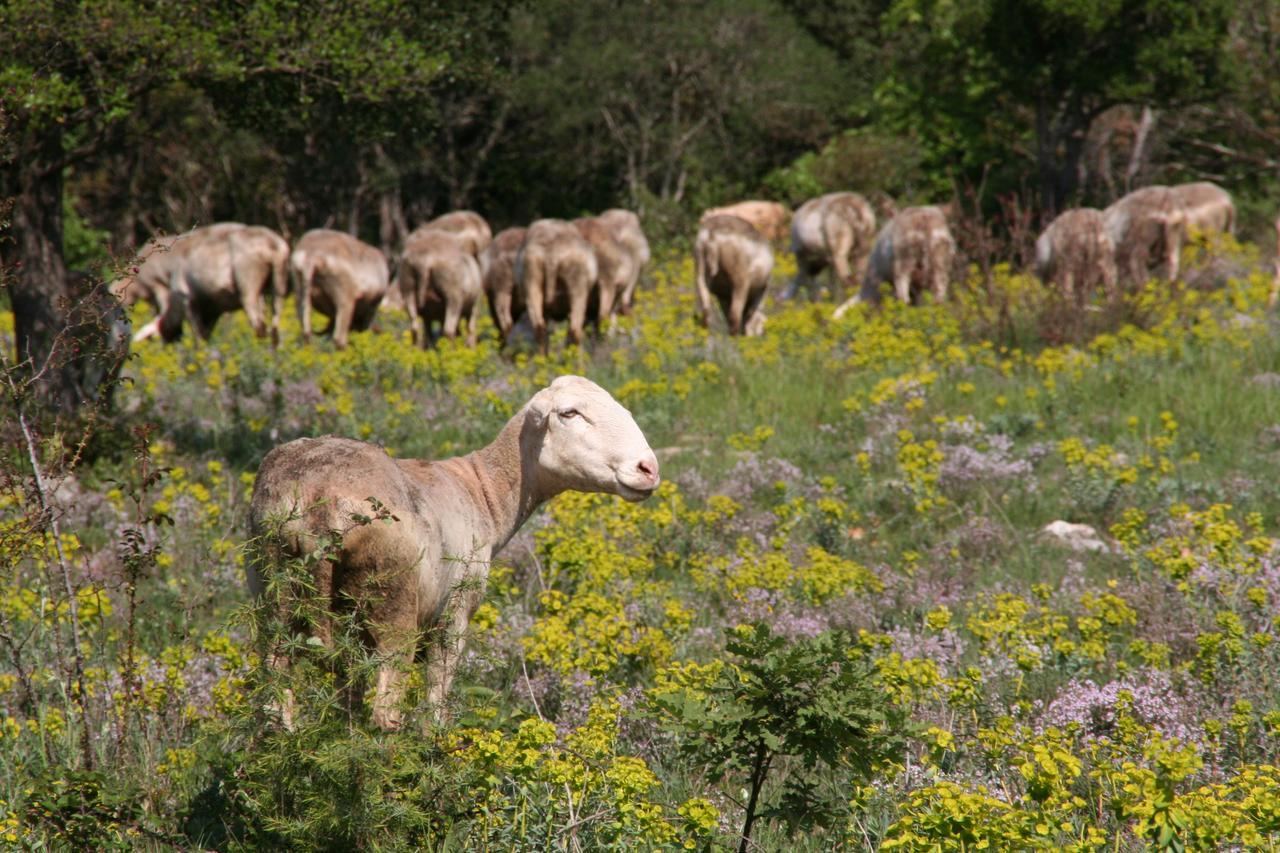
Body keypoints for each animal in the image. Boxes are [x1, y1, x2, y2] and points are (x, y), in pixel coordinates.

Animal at [158, 227, 289, 348]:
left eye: (163, 333)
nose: (166, 347)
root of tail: (273, 245)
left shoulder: (188, 301)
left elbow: (198, 336)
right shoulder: (213, 312)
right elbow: (205, 335)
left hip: (248, 288)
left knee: (259, 325)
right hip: (278, 283)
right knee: (275, 324)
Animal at [245, 376, 660, 727]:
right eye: (570, 413)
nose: (649, 468)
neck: (483, 491)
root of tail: (318, 499)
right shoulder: (454, 617)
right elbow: (435, 705)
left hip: (273, 592)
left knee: (275, 700)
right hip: (393, 603)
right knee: (385, 712)